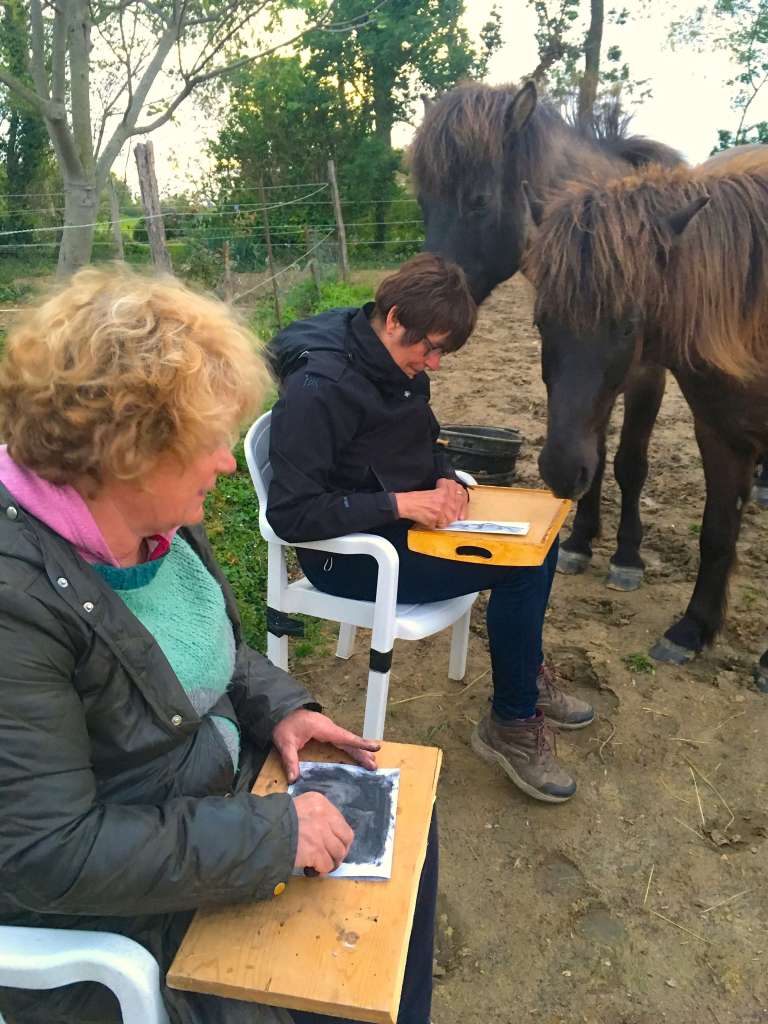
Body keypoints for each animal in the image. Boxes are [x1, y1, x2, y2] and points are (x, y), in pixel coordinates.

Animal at [410, 80, 684, 592]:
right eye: (422, 202)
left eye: (479, 201)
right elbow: (594, 453)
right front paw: (579, 541)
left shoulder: (646, 377)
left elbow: (631, 464)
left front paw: (627, 556)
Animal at [523, 147, 768, 684]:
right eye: (541, 320)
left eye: (629, 324)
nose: (558, 471)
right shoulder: (717, 431)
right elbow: (717, 531)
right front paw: (691, 630)